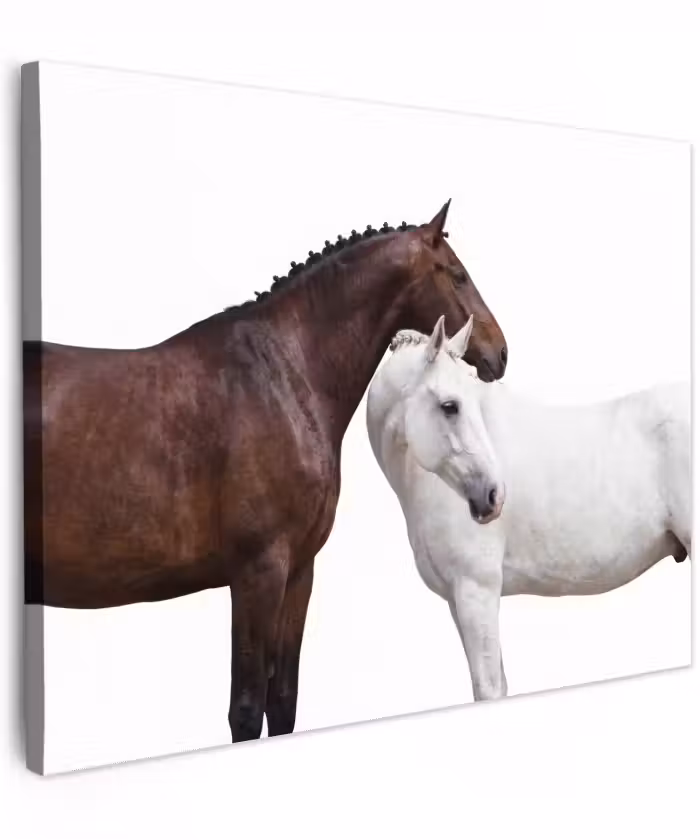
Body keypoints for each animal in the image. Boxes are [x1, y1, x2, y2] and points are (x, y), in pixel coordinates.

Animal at [23, 201, 508, 742]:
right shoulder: (258, 571)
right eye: (458, 274)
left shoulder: (298, 572)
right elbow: (246, 707)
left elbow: (282, 702)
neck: (283, 375)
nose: (500, 352)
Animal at [366, 315, 690, 702]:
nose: (493, 495)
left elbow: (489, 689)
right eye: (450, 406)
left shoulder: (477, 591)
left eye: (461, 403)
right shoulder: (457, 600)